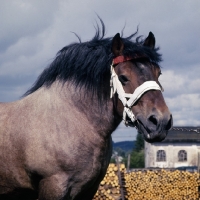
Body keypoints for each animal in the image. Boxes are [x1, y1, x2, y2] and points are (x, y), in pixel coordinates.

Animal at [0, 21, 172, 199]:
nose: (160, 122)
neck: (75, 120)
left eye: (158, 73)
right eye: (123, 77)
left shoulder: (89, 189)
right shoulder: (53, 187)